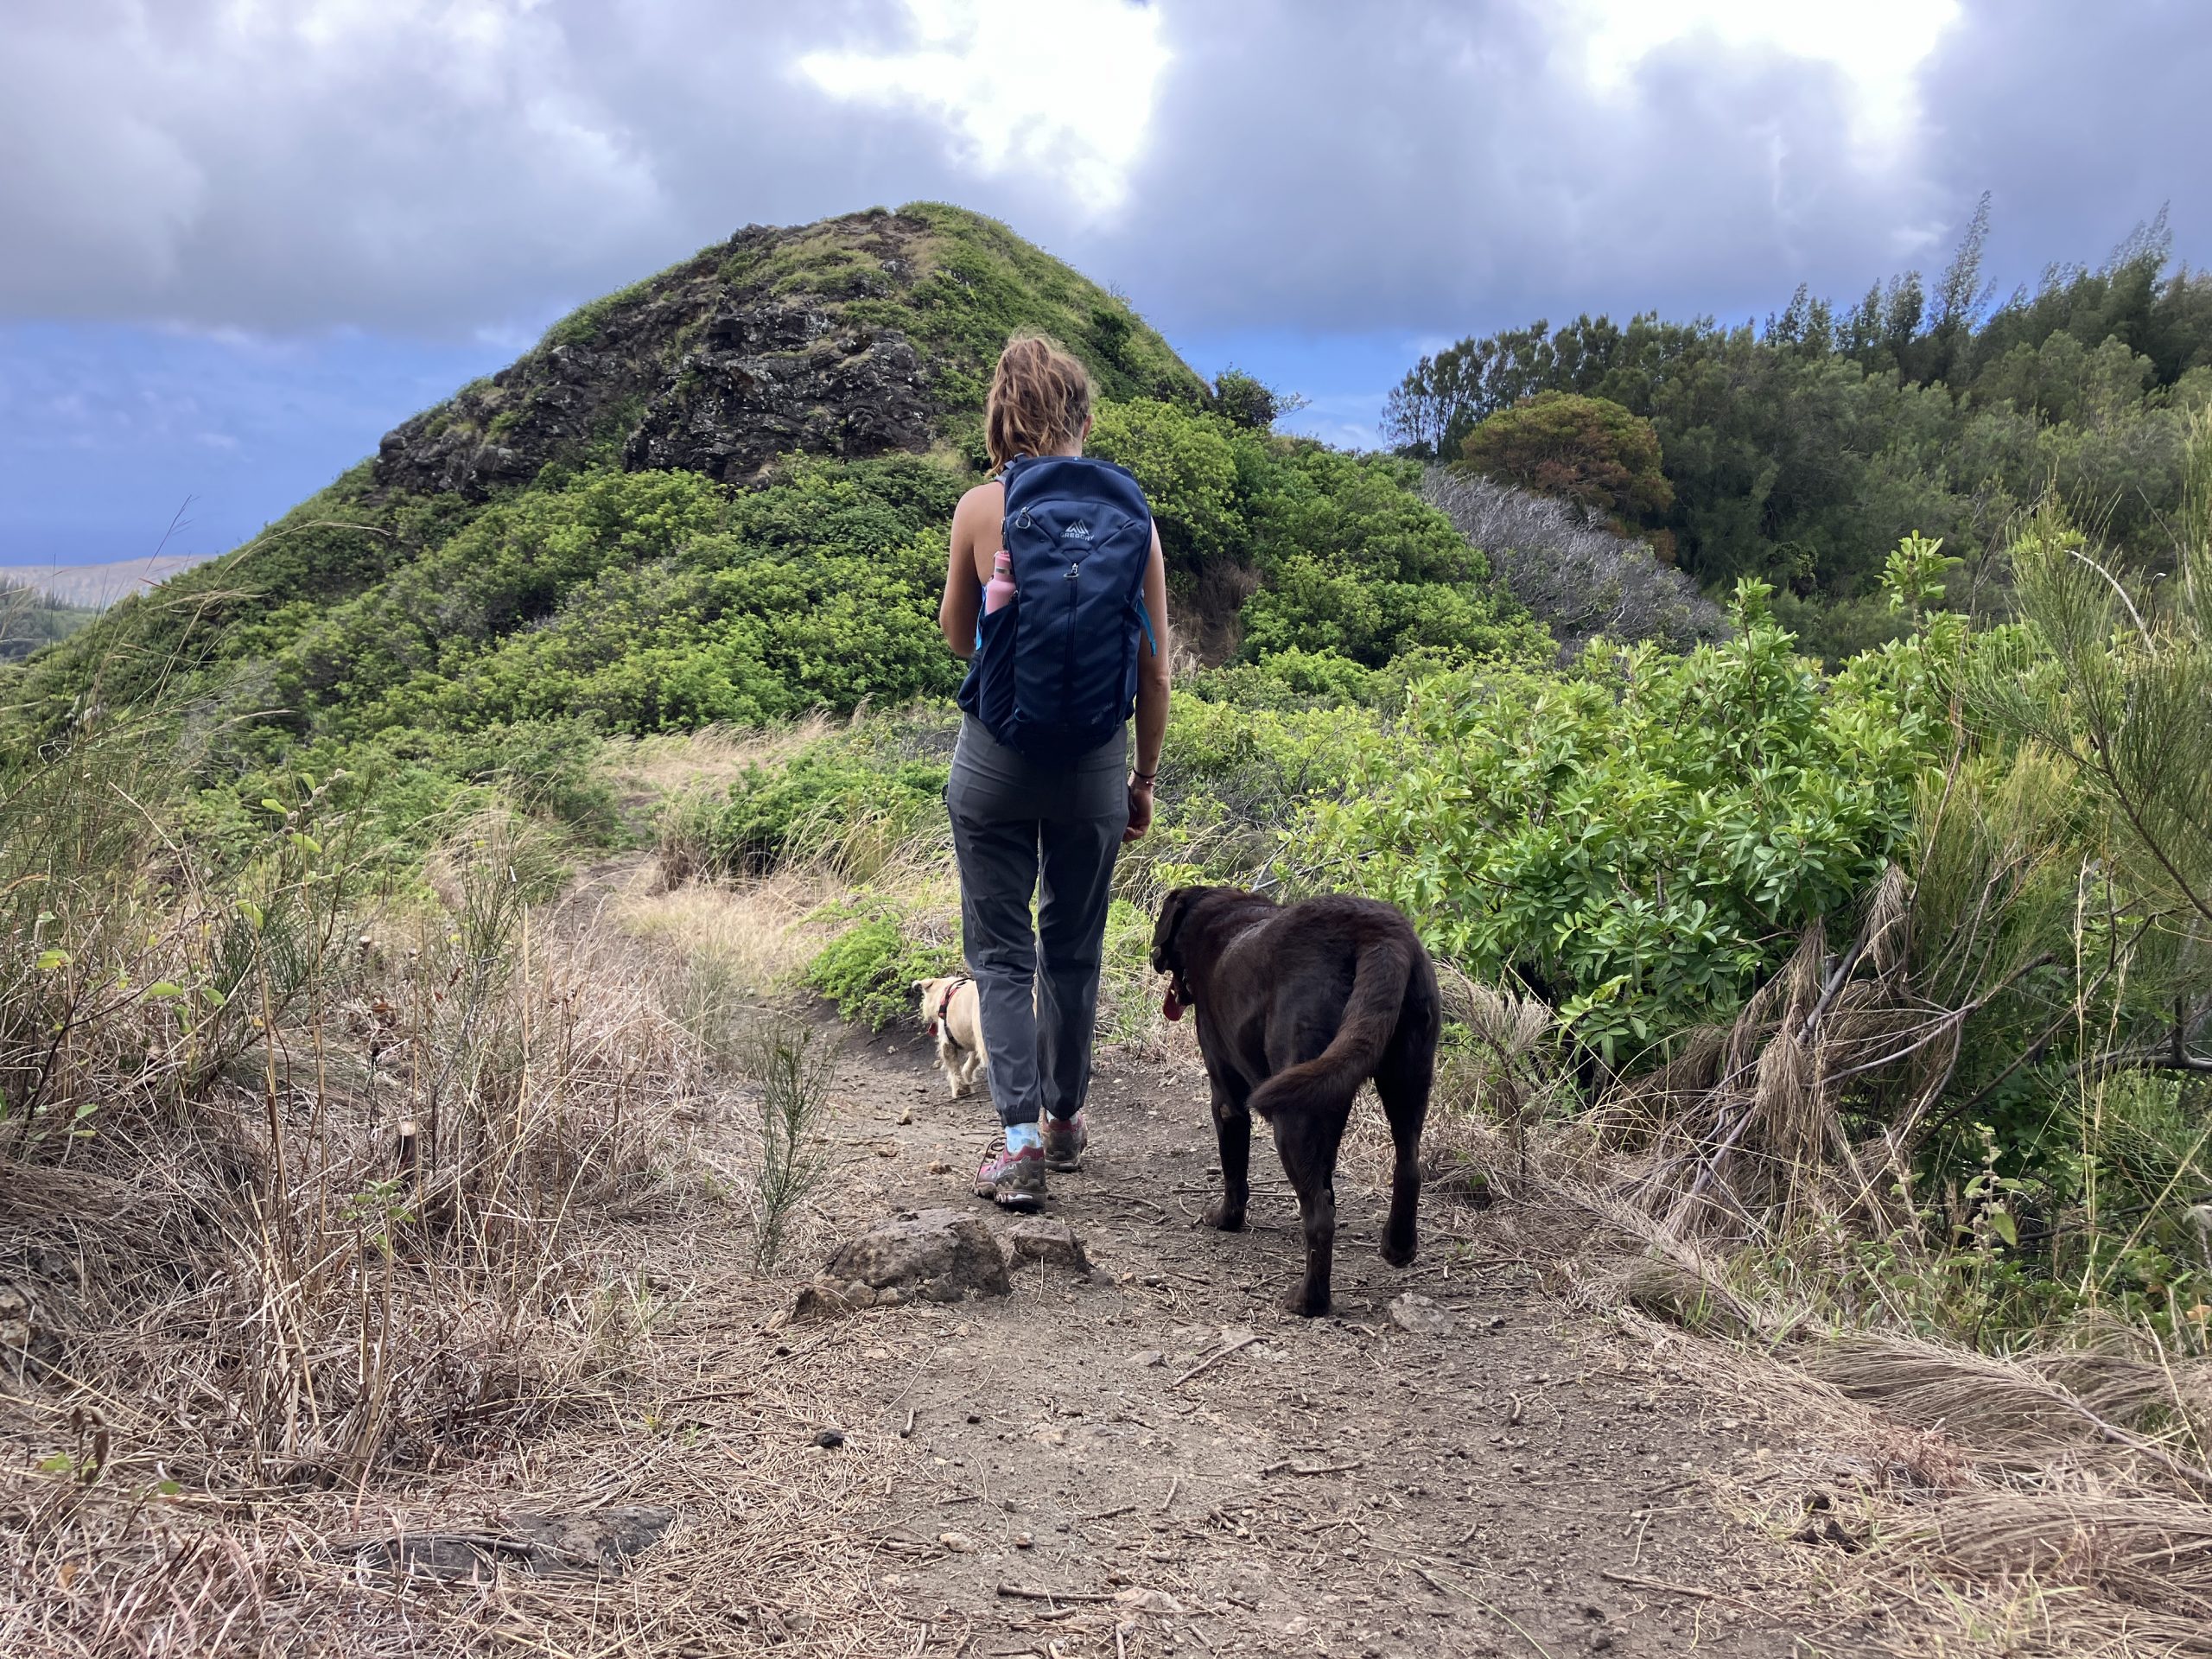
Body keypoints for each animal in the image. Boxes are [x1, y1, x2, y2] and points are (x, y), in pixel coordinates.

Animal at [911, 982, 990, 1096]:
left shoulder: (947, 1041)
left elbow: (953, 1066)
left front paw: (960, 1088)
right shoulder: (975, 1041)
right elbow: (972, 1062)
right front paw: (967, 1079)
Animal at [1150, 889, 1442, 1318]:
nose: (1153, 955)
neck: (1218, 918)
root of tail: (1379, 934)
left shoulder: (1226, 1097)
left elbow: (1234, 1169)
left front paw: (1226, 1218)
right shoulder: (1329, 1100)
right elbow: (1325, 1176)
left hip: (1294, 1111)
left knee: (1319, 1218)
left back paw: (1308, 1300)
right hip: (1406, 1077)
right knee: (1408, 1168)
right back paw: (1398, 1247)